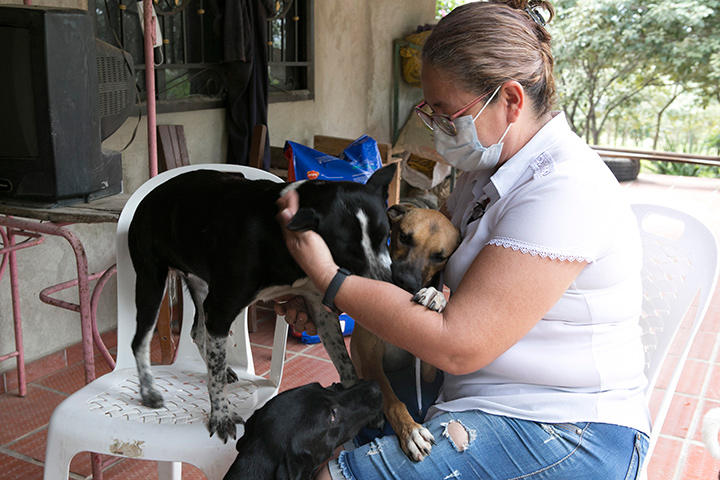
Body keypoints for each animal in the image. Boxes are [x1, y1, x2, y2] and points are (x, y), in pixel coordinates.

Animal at [128, 165, 400, 442]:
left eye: (386, 236)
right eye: (347, 250)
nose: (387, 286)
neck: (277, 235)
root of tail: (148, 198)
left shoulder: (320, 308)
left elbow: (344, 361)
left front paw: (363, 400)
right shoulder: (221, 309)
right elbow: (215, 375)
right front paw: (221, 415)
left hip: (202, 287)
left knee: (197, 332)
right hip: (152, 283)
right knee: (140, 340)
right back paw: (149, 391)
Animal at [350, 204, 462, 464]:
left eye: (440, 257)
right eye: (403, 236)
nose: (404, 281)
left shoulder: (427, 370)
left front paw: (435, 295)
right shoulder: (371, 362)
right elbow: (393, 401)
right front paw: (411, 432)